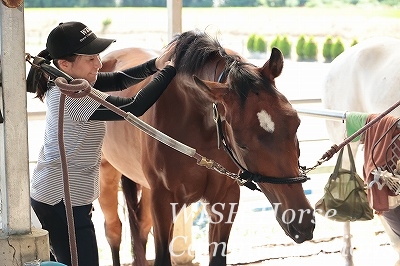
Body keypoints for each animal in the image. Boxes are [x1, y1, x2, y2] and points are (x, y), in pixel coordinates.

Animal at [98, 29, 314, 266]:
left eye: (296, 123)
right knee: (113, 231)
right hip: (106, 176)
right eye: (242, 143)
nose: (302, 223)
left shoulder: (225, 199)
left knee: (141, 227)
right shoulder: (163, 201)